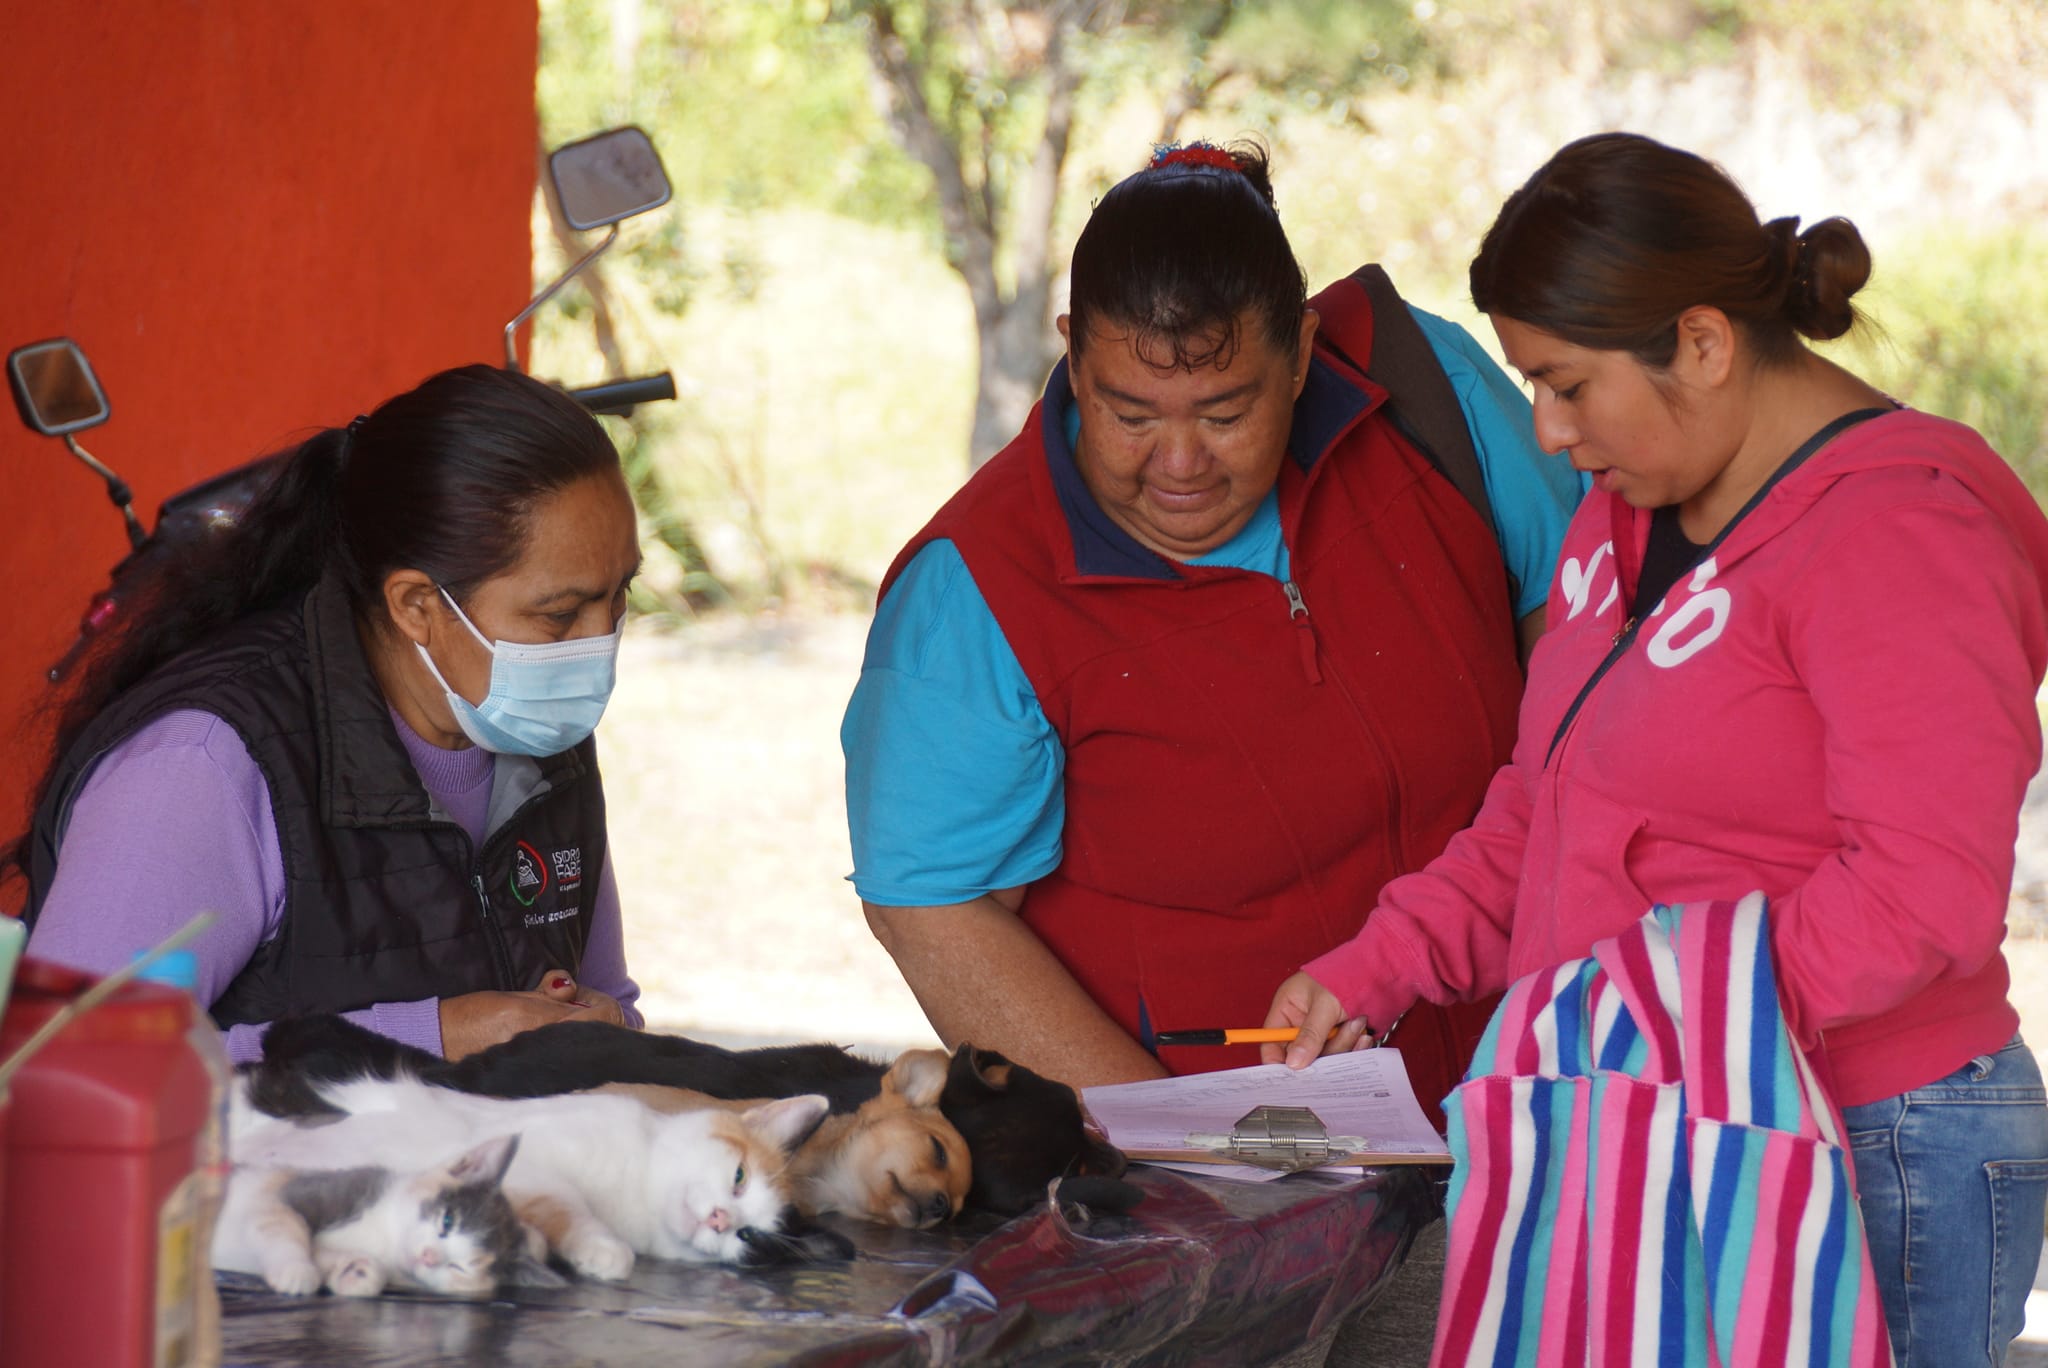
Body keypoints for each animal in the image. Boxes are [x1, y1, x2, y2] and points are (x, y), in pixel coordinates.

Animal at [209, 1138, 561, 1302]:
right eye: (447, 1221)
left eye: (460, 1268)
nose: (428, 1256)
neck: (384, 1236)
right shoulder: (299, 1191)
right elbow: (281, 1224)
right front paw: (296, 1271)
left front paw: (354, 1272)